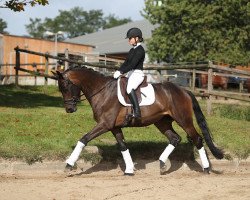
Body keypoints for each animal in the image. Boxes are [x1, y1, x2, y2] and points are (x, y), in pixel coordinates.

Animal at [52, 66, 223, 175]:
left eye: (65, 87)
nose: (69, 109)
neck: (102, 91)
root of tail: (184, 90)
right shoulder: (114, 127)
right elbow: (122, 146)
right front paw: (129, 170)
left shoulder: (104, 124)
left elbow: (84, 139)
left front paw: (69, 164)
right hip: (162, 122)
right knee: (175, 138)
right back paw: (162, 163)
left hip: (184, 120)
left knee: (197, 139)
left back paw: (206, 169)